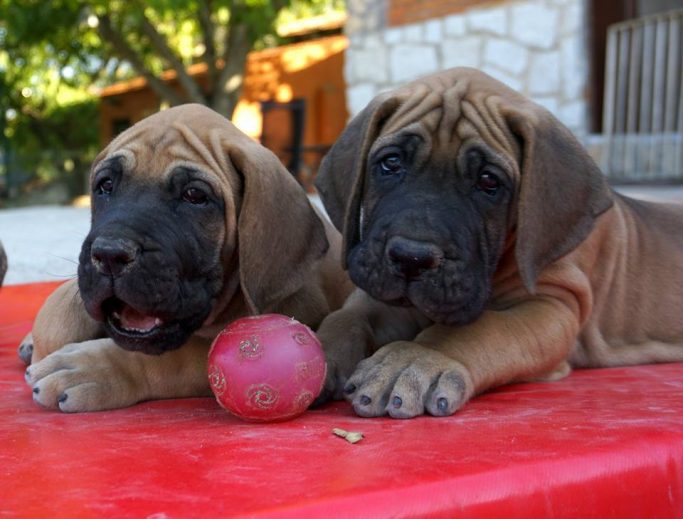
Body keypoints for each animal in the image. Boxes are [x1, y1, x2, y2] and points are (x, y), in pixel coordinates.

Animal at [21, 104, 352, 414]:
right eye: (105, 186)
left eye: (194, 196)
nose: (109, 255)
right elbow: (62, 310)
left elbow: (177, 356)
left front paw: (94, 367)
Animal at [316, 68, 683, 418]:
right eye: (390, 163)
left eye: (488, 181)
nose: (411, 258)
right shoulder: (380, 294)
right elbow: (344, 318)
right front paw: (320, 350)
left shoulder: (553, 305)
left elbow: (480, 328)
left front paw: (414, 359)